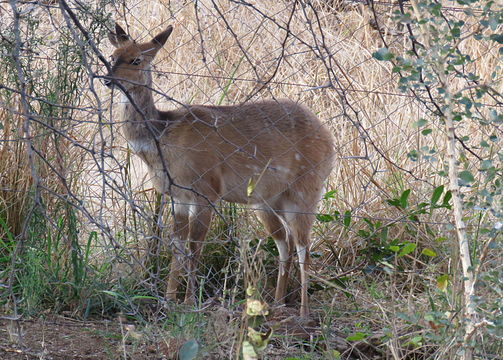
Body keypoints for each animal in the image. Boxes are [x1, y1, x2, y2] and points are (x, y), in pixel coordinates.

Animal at [106, 22, 334, 316]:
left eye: (136, 59)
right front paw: (168, 300)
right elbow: (177, 246)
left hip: (306, 189)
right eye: (113, 56)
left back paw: (304, 312)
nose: (108, 79)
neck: (163, 138)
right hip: (267, 200)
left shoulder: (206, 190)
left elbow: (195, 247)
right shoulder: (178, 196)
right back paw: (277, 303)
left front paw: (189, 302)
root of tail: (328, 137)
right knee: (286, 242)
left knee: (305, 245)